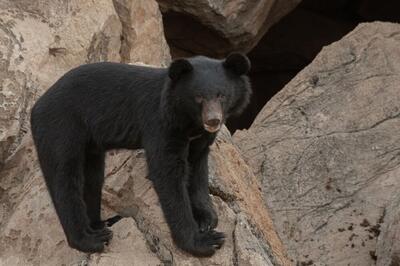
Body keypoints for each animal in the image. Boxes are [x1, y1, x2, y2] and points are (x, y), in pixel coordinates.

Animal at [30, 53, 250, 256]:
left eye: (222, 95)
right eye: (198, 97)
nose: (213, 120)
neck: (190, 123)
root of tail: (37, 105)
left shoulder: (200, 139)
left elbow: (197, 168)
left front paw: (207, 219)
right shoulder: (161, 123)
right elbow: (167, 173)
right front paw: (204, 242)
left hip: (89, 145)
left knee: (92, 180)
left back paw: (101, 224)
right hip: (61, 127)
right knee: (65, 179)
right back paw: (90, 239)